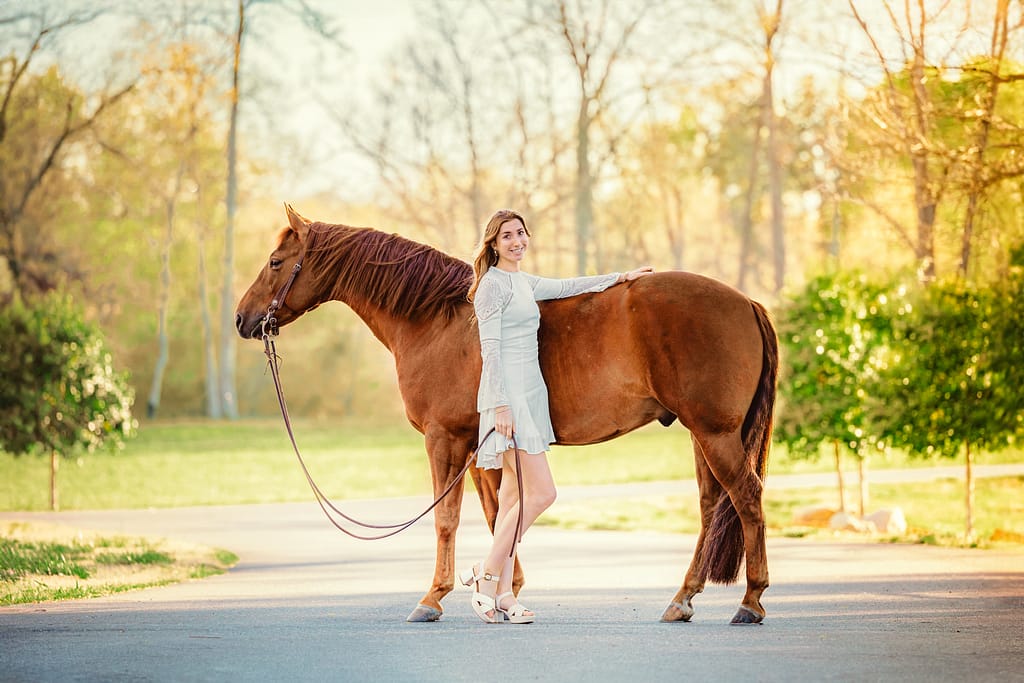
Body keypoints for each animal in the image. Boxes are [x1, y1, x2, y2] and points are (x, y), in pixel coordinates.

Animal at [235, 205, 778, 626]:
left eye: (276, 261)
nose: (243, 319)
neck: (437, 320)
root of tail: (747, 301)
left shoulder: (444, 440)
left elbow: (448, 520)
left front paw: (434, 598)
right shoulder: (483, 448)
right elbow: (500, 514)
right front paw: (502, 592)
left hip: (715, 433)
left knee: (746, 497)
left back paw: (750, 602)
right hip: (702, 434)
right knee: (711, 505)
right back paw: (681, 600)